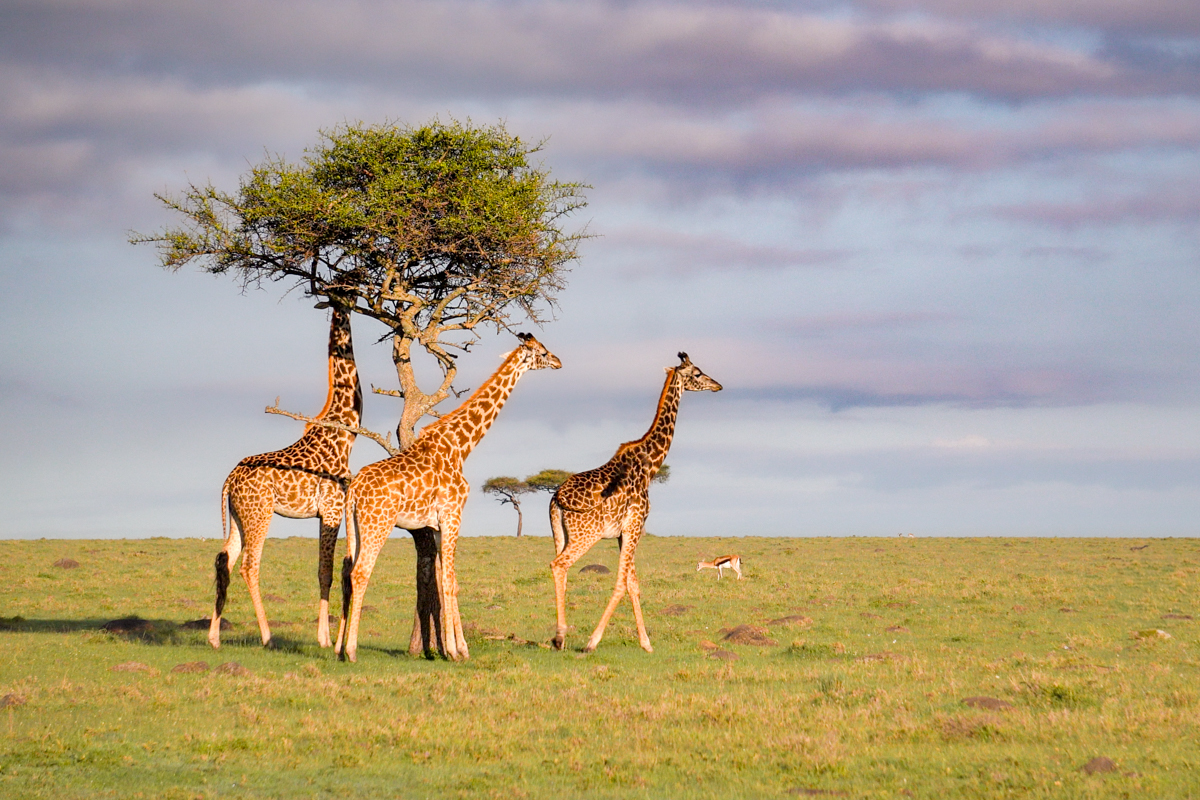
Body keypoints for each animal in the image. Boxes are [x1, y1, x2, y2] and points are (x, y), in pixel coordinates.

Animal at [209, 300, 362, 650]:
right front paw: (325, 640)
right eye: (342, 293)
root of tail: (228, 481)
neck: (345, 432)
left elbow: (325, 570)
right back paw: (267, 637)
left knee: (225, 560)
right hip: (260, 514)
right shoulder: (331, 509)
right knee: (249, 566)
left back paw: (214, 638)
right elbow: (326, 571)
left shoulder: (328, 512)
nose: (355, 297)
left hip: (238, 516)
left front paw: (325, 637)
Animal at [334, 333, 561, 663]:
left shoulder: (439, 524)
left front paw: (452, 648)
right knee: (361, 572)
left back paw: (337, 648)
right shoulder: (453, 515)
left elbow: (444, 582)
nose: (558, 361)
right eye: (542, 352)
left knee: (346, 570)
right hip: (379, 523)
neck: (461, 446)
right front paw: (458, 651)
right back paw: (351, 651)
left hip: (355, 524)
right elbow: (452, 582)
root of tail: (353, 489)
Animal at [549, 352, 721, 653]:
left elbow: (633, 584)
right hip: (586, 535)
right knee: (559, 565)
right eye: (698, 373)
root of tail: (557, 498)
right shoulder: (636, 525)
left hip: (560, 535)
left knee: (562, 570)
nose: (718, 385)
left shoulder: (623, 532)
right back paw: (560, 636)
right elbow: (621, 584)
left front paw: (646, 643)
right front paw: (592, 641)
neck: (650, 465)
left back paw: (560, 637)